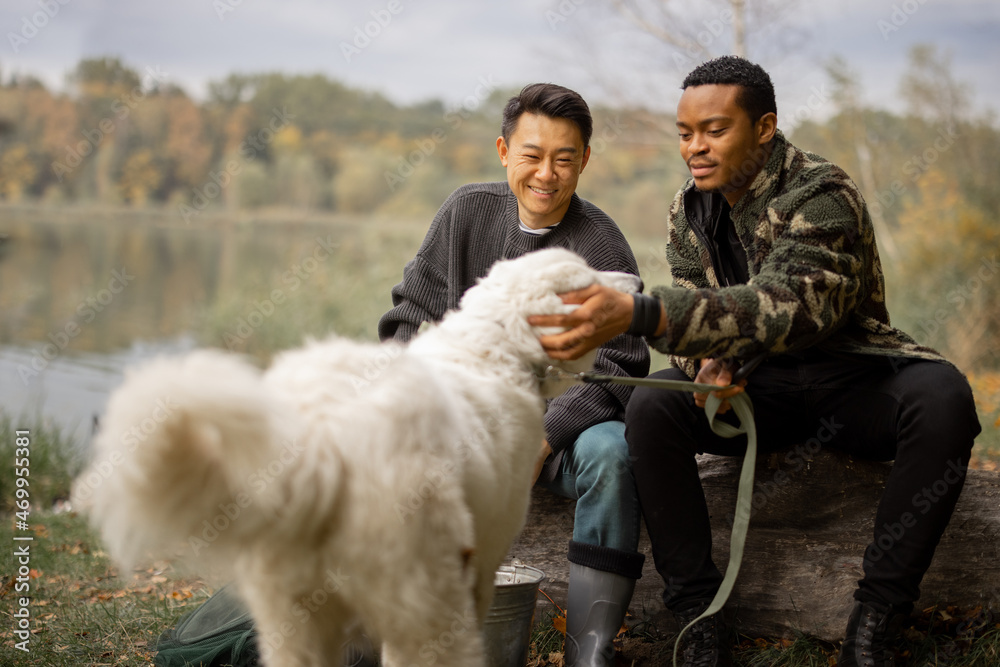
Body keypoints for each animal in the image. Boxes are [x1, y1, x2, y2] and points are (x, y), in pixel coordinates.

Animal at [76, 249, 640, 667]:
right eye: (588, 278)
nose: (635, 282)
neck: (492, 346)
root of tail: (321, 439)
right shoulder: (484, 555)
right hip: (424, 600)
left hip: (292, 617)